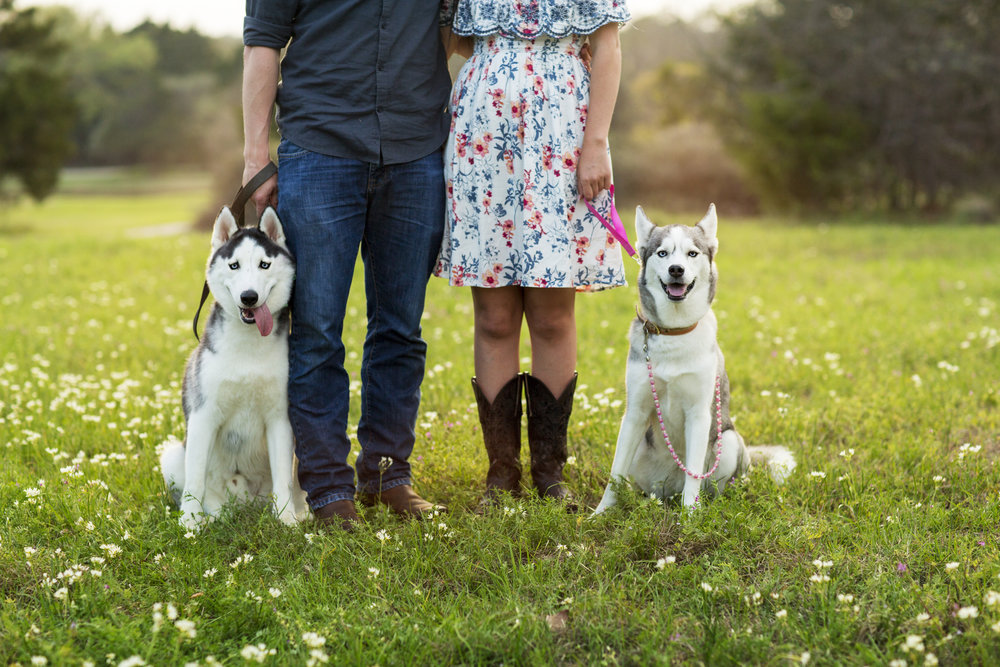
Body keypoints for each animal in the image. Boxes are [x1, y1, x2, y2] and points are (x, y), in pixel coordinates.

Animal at [592, 206, 796, 516]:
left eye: (692, 253)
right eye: (662, 253)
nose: (676, 269)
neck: (675, 332)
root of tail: (669, 490)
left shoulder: (699, 414)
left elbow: (694, 474)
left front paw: (689, 516)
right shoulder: (634, 414)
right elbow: (615, 474)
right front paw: (600, 514)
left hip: (728, 441)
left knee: (711, 483)